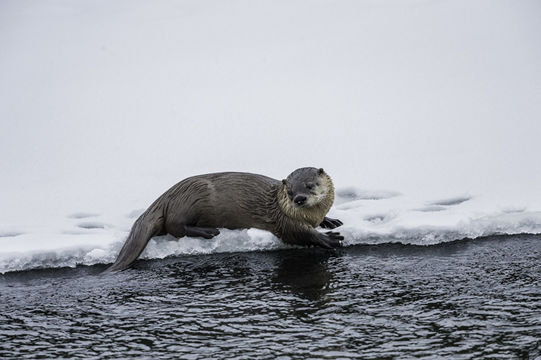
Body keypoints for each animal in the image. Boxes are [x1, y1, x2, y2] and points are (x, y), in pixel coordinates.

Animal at [102, 167, 342, 272]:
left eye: (310, 185)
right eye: (290, 192)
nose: (299, 199)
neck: (311, 215)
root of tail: (164, 197)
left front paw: (330, 221)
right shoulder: (283, 220)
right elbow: (298, 233)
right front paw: (329, 239)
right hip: (190, 199)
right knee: (175, 227)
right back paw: (209, 231)